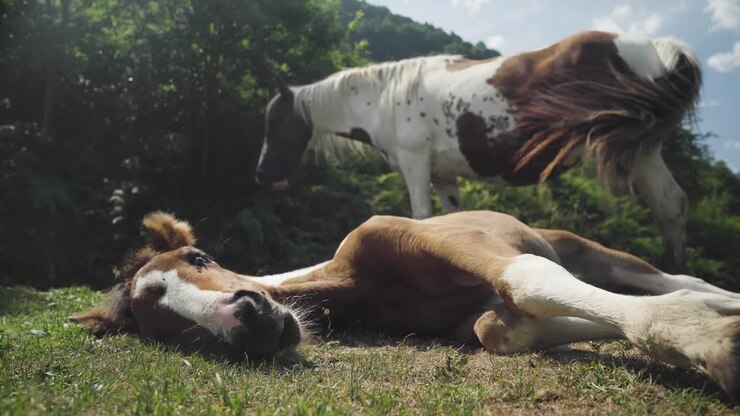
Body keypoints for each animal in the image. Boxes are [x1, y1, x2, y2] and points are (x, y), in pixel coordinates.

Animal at [73, 211, 740, 402]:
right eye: (168, 331)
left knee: (668, 276)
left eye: (201, 256)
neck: (355, 282)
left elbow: (527, 282)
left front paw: (709, 341)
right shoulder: (476, 320)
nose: (249, 318)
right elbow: (503, 326)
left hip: (588, 248)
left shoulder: (460, 244)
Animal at [254, 30, 702, 273]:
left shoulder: (416, 165)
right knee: (670, 206)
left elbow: (420, 217)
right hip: (645, 152)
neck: (384, 96)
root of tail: (661, 48)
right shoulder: (444, 176)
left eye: (274, 122)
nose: (261, 176)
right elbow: (451, 221)